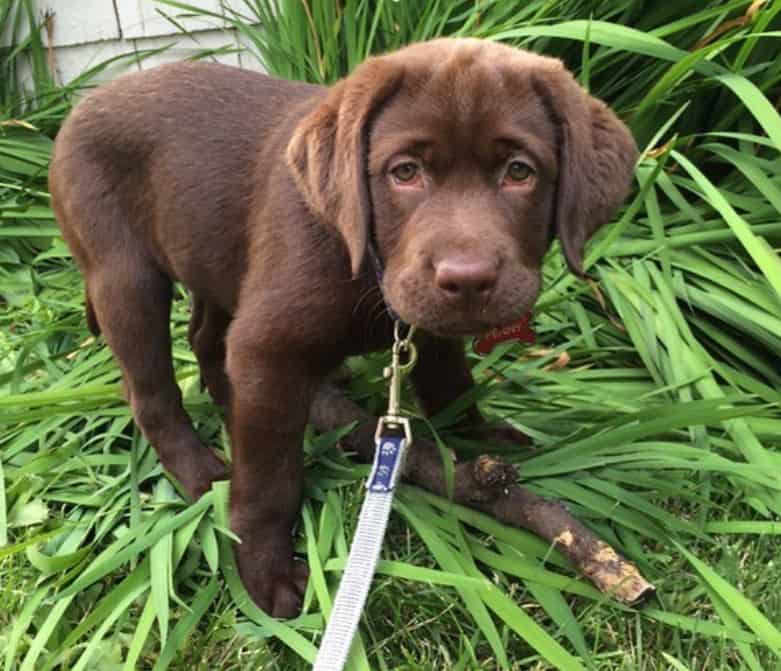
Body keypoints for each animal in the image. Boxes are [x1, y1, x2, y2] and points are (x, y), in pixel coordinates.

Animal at [47, 38, 632, 620]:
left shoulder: (422, 324)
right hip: (125, 275)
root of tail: (79, 106)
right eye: (404, 172)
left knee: (207, 340)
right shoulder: (269, 345)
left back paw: (229, 404)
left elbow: (450, 384)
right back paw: (201, 473)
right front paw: (264, 569)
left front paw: (477, 440)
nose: (467, 280)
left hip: (214, 257)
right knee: (151, 393)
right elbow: (269, 477)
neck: (367, 266)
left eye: (519, 171)